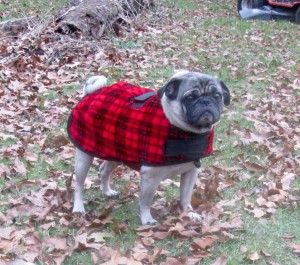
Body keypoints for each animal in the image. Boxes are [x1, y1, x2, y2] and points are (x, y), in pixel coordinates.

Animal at [68, 71, 230, 224]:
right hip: (84, 156)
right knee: (79, 184)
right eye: (190, 97)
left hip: (116, 152)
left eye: (217, 95)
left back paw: (107, 191)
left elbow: (185, 197)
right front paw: (147, 219)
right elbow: (146, 201)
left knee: (103, 171)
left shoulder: (191, 172)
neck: (182, 130)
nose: (206, 101)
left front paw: (188, 213)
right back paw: (78, 208)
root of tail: (92, 92)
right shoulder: (150, 177)